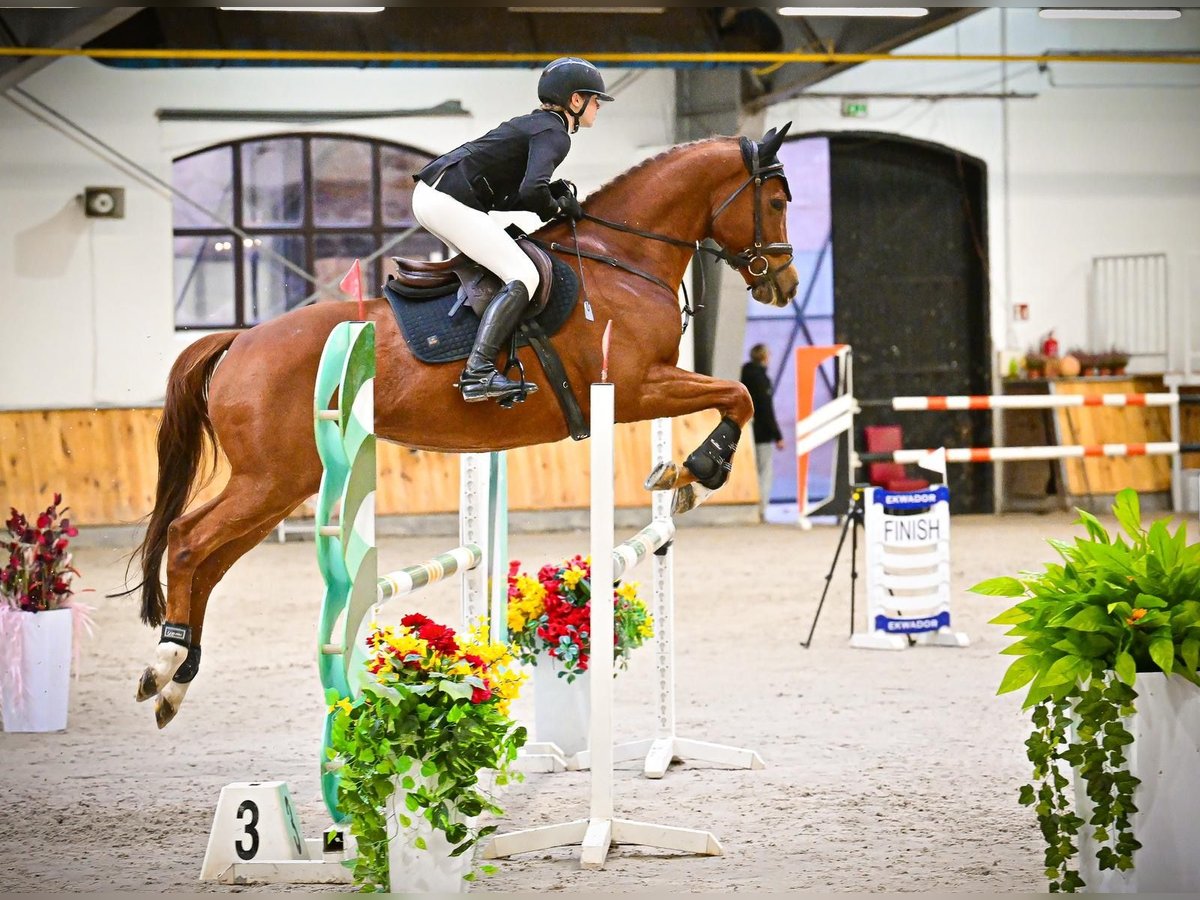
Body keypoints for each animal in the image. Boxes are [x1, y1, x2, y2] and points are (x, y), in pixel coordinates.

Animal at [133, 121, 796, 724]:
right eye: (776, 202)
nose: (784, 285)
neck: (623, 259)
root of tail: (239, 341)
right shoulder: (635, 388)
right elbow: (739, 395)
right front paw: (696, 472)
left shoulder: (644, 387)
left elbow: (733, 396)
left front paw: (682, 478)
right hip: (270, 478)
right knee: (189, 540)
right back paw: (165, 665)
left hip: (282, 483)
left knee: (210, 559)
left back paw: (175, 678)